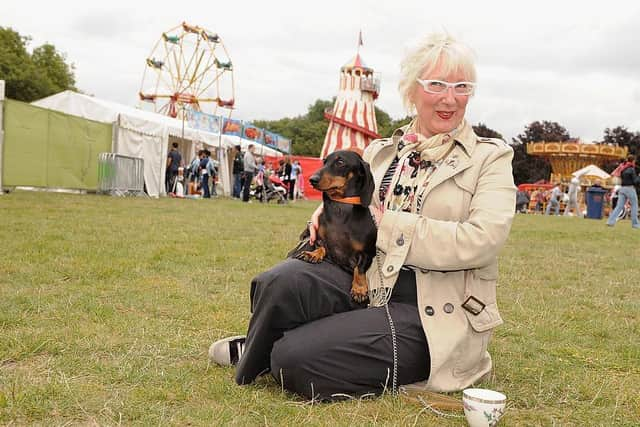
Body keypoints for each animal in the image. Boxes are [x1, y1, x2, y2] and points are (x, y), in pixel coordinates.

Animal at [288, 150, 378, 304]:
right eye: (324, 161)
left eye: (340, 162)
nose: (312, 179)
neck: (341, 206)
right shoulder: (318, 237)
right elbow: (321, 246)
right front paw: (313, 254)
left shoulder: (367, 253)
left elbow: (359, 269)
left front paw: (359, 288)